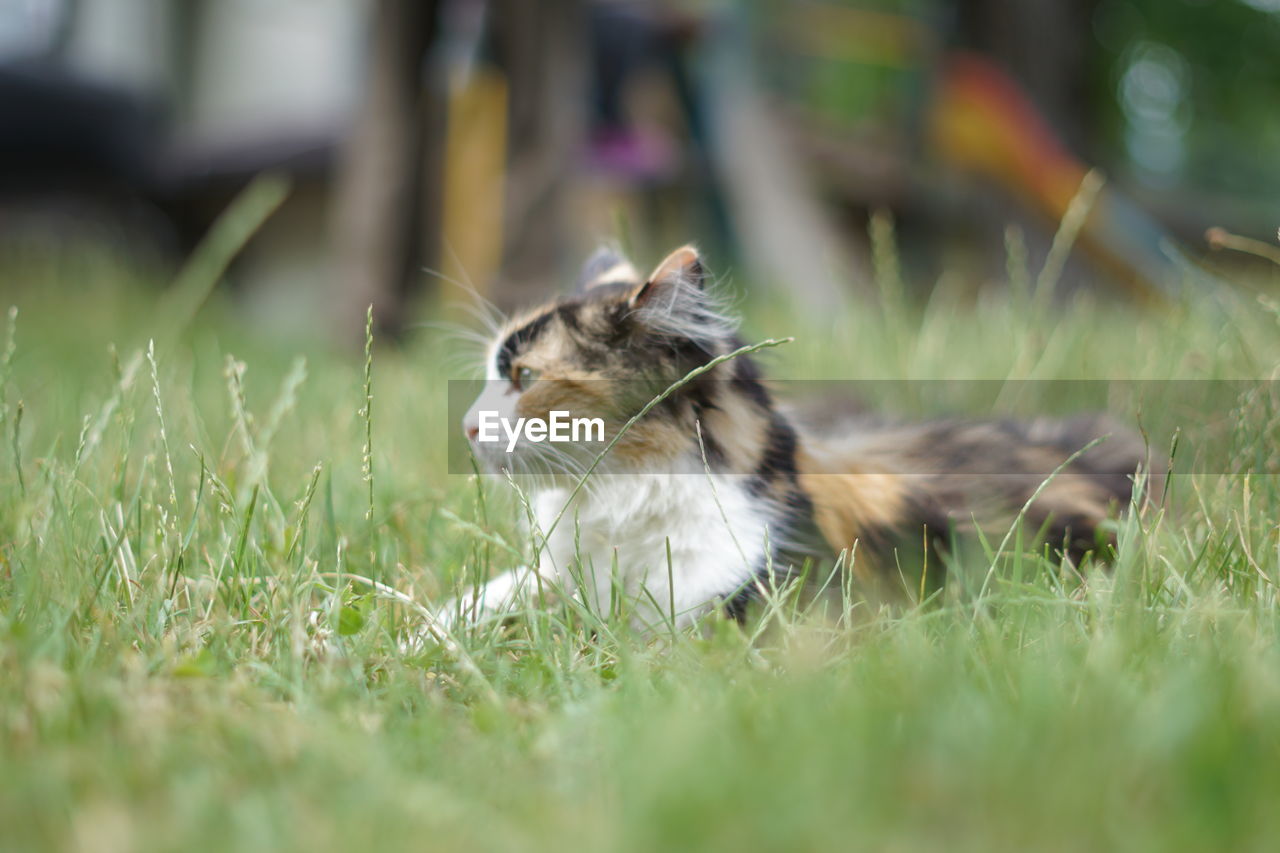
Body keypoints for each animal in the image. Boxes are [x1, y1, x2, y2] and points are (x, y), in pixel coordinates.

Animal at [440, 242, 1152, 627]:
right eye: (494, 373)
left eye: (526, 376)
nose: (467, 423)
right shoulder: (552, 576)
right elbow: (480, 602)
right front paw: (431, 632)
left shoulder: (735, 611)